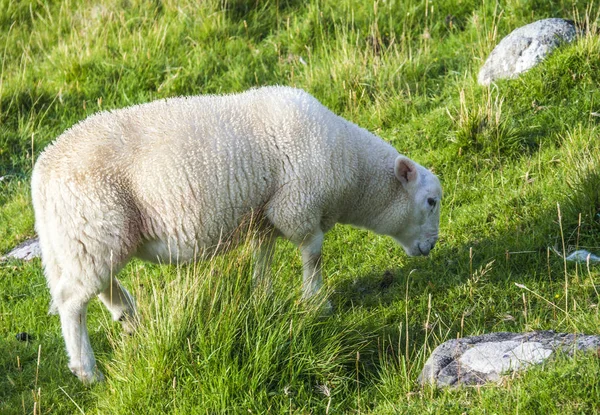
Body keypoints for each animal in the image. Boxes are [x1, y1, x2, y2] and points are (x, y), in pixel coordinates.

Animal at [31, 87, 440, 384]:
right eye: (431, 201)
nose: (431, 246)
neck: (351, 172)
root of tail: (41, 174)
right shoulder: (297, 205)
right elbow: (313, 253)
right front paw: (316, 302)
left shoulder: (264, 213)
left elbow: (264, 255)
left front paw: (263, 297)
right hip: (94, 225)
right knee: (71, 301)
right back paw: (87, 370)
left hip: (90, 236)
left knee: (101, 284)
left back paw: (129, 319)